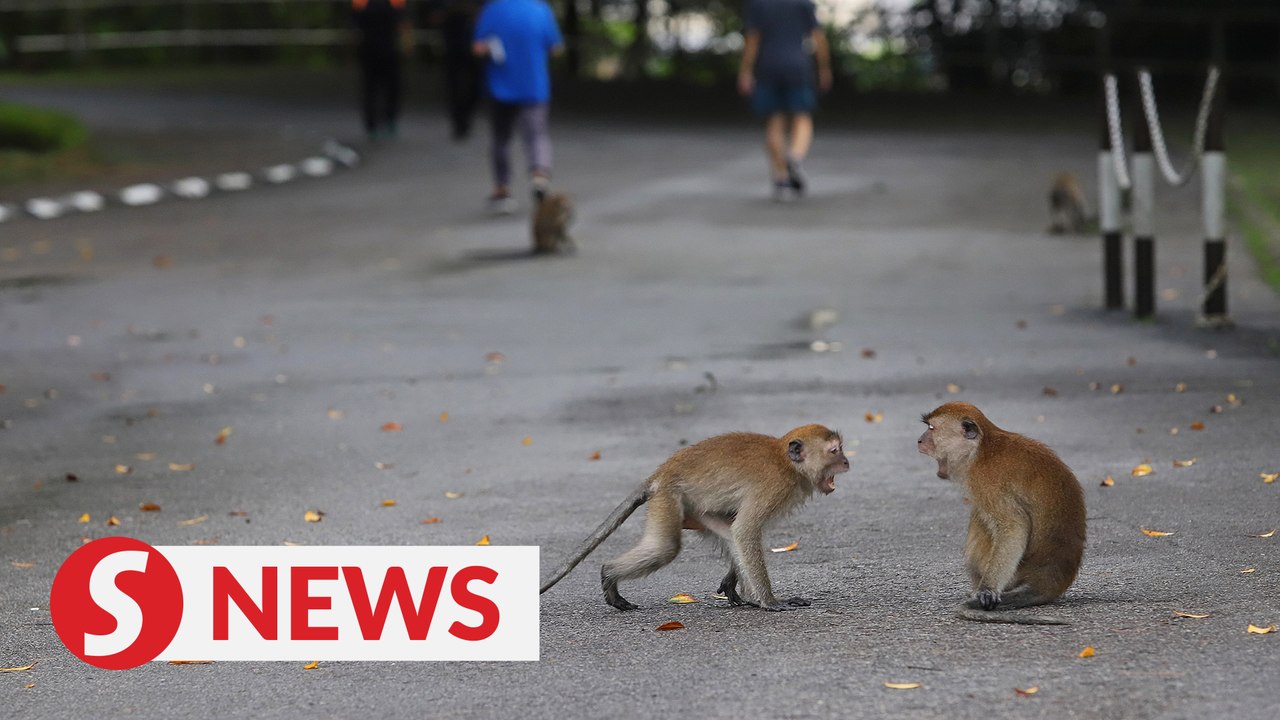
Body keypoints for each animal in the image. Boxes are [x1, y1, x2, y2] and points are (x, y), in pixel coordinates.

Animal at [540, 425, 849, 611]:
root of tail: (662, 473)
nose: (847, 462)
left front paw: (734, 586)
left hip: (695, 509)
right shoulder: (775, 486)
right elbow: (745, 530)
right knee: (666, 548)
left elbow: (739, 532)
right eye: (834, 451)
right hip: (668, 498)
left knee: (724, 531)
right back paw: (608, 574)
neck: (788, 463)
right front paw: (771, 601)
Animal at [917, 402, 1085, 625]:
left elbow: (1014, 526)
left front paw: (987, 590)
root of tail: (1048, 580)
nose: (919, 441)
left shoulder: (986, 480)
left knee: (980, 517)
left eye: (931, 428)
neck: (981, 448)